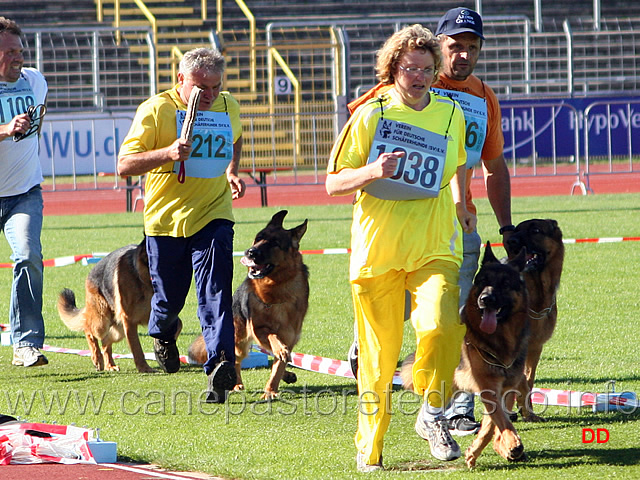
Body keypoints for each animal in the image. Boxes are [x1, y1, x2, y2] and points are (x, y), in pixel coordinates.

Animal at [57, 242, 180, 374]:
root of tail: (92, 272)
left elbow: (176, 325)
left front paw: (162, 346)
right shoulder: (129, 320)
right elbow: (137, 348)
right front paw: (144, 368)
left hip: (118, 329)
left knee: (105, 341)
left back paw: (109, 365)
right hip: (102, 322)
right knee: (89, 330)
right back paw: (97, 358)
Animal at [188, 211, 310, 402]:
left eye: (275, 243)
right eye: (258, 238)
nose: (250, 252)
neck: (276, 289)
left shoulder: (290, 337)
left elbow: (278, 365)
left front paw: (271, 389)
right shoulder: (259, 330)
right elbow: (273, 338)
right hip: (239, 339)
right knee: (236, 359)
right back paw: (234, 382)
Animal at [400, 242, 528, 466]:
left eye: (505, 283)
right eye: (483, 281)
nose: (485, 299)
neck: (500, 339)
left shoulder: (504, 389)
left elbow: (491, 426)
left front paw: (483, 450)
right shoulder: (489, 388)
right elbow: (502, 422)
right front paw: (512, 443)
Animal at [504, 218, 564, 420]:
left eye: (535, 230)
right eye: (516, 230)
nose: (511, 241)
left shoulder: (535, 347)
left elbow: (529, 380)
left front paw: (526, 411)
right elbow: (521, 380)